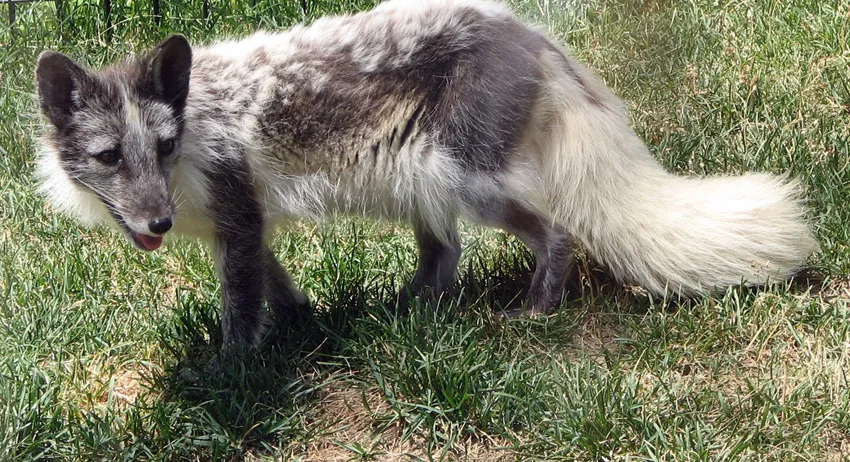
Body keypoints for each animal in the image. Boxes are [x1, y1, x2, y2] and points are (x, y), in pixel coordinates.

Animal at [34, 0, 816, 346]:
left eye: (164, 146)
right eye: (110, 157)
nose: (159, 221)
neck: (198, 123)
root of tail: (526, 32)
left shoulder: (238, 218)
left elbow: (240, 313)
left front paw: (237, 375)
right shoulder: (243, 228)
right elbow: (275, 290)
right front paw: (304, 326)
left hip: (467, 179)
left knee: (557, 232)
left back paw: (534, 311)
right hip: (420, 177)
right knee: (446, 256)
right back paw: (407, 311)